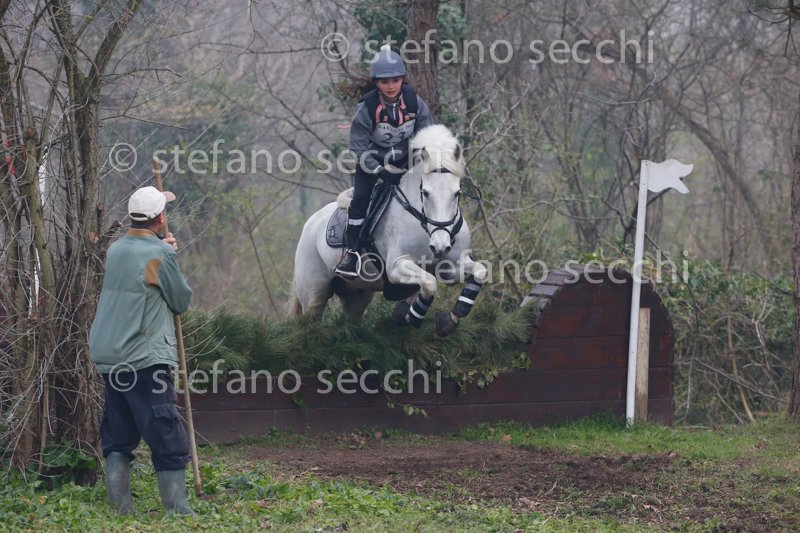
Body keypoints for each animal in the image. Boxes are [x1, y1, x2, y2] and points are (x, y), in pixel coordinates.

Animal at [289, 124, 487, 337]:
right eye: (425, 193)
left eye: (456, 193)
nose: (440, 246)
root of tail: (311, 222)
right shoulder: (396, 267)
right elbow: (429, 282)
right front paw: (408, 315)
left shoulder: (450, 268)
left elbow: (479, 271)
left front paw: (449, 320)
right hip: (313, 294)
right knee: (311, 320)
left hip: (356, 295)